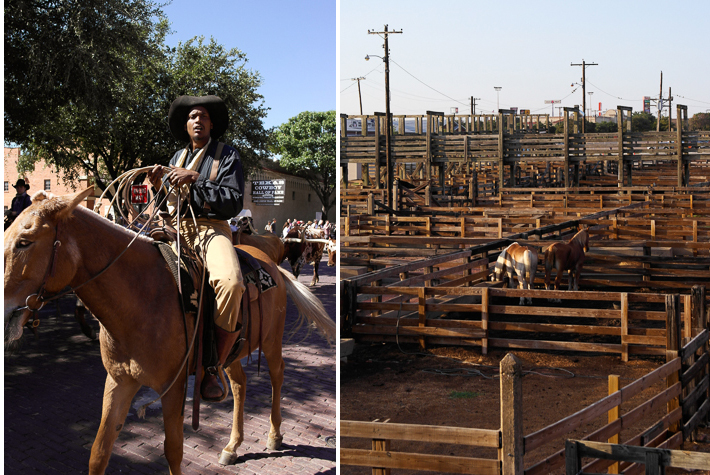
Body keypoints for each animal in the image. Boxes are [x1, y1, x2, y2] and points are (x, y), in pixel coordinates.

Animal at [3, 188, 336, 474]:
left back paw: (275, 434)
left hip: (271, 340)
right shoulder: (119, 381)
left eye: (25, 241)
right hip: (231, 351)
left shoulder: (172, 387)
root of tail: (273, 265)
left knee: (277, 375)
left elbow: (173, 450)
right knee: (240, 384)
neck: (141, 296)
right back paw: (232, 446)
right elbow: (99, 451)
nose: (4, 314)